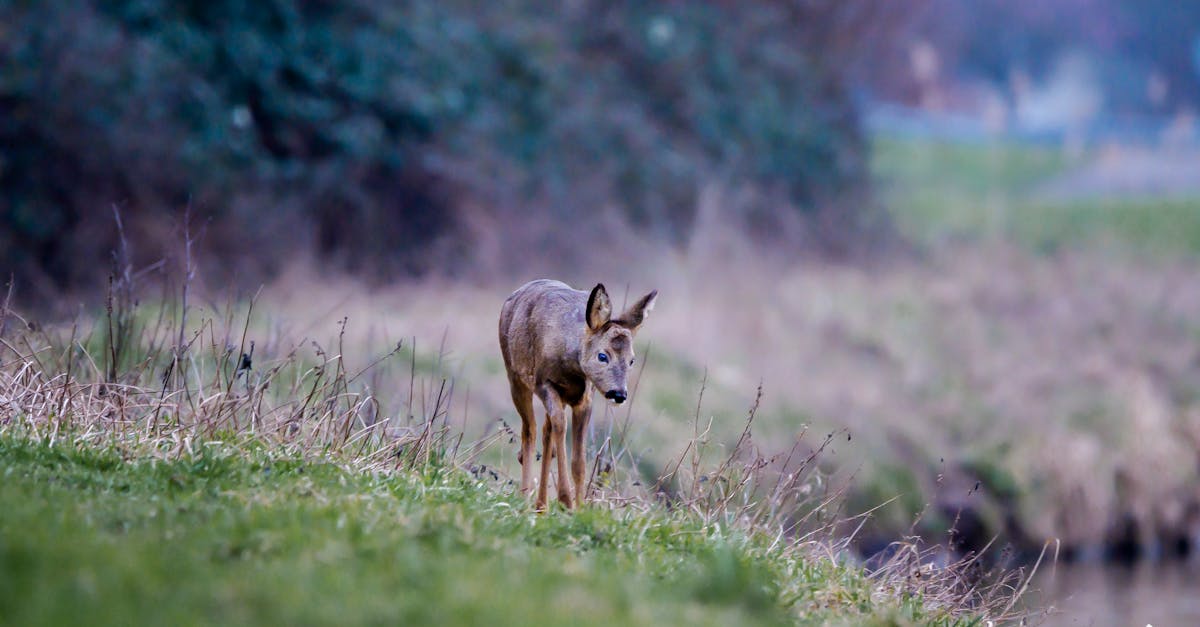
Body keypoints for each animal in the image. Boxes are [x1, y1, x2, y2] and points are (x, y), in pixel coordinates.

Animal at [501, 278, 662, 506]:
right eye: (602, 356)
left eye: (632, 360)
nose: (619, 394)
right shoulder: (544, 383)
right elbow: (560, 427)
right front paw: (566, 501)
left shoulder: (585, 398)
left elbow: (579, 461)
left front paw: (578, 506)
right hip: (515, 376)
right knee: (530, 430)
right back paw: (525, 496)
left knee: (545, 431)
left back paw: (541, 506)